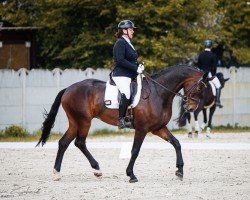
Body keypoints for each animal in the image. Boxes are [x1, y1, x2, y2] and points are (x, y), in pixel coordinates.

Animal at [37, 65, 208, 183]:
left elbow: (176, 143)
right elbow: (135, 151)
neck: (158, 93)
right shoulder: (142, 128)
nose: (191, 108)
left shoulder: (158, 128)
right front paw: (131, 175)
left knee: (64, 143)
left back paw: (57, 173)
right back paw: (97, 169)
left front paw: (180, 172)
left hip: (75, 122)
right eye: (200, 86)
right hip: (84, 121)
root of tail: (68, 89)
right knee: (79, 142)